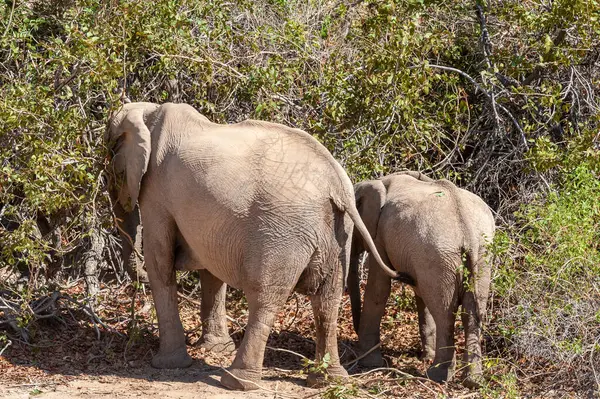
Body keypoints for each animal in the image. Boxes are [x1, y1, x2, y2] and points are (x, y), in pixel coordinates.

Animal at [106, 102, 400, 390]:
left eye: (113, 169)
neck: (148, 112)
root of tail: (336, 184)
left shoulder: (157, 191)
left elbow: (160, 261)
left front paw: (168, 364)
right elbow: (209, 267)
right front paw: (215, 348)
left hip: (282, 234)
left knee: (265, 298)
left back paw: (236, 381)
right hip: (337, 234)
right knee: (328, 298)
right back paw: (328, 380)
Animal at [350, 171, 494, 388]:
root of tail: (468, 231)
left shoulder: (380, 236)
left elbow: (379, 289)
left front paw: (370, 363)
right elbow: (420, 293)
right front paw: (426, 356)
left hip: (439, 254)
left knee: (445, 313)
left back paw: (436, 376)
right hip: (479, 256)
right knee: (470, 312)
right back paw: (473, 381)